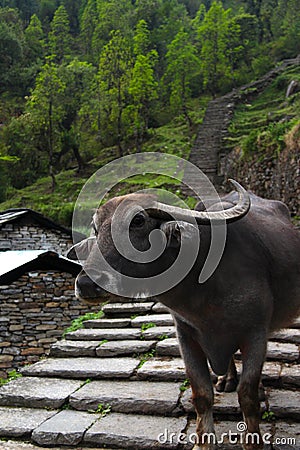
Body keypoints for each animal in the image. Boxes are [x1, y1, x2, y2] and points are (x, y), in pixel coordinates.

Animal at [68, 182, 300, 450]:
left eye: (138, 221)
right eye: (96, 228)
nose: (86, 284)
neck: (204, 290)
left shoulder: (255, 333)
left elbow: (247, 395)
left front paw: (253, 442)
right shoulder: (186, 336)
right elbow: (202, 395)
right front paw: (203, 442)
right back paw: (226, 379)